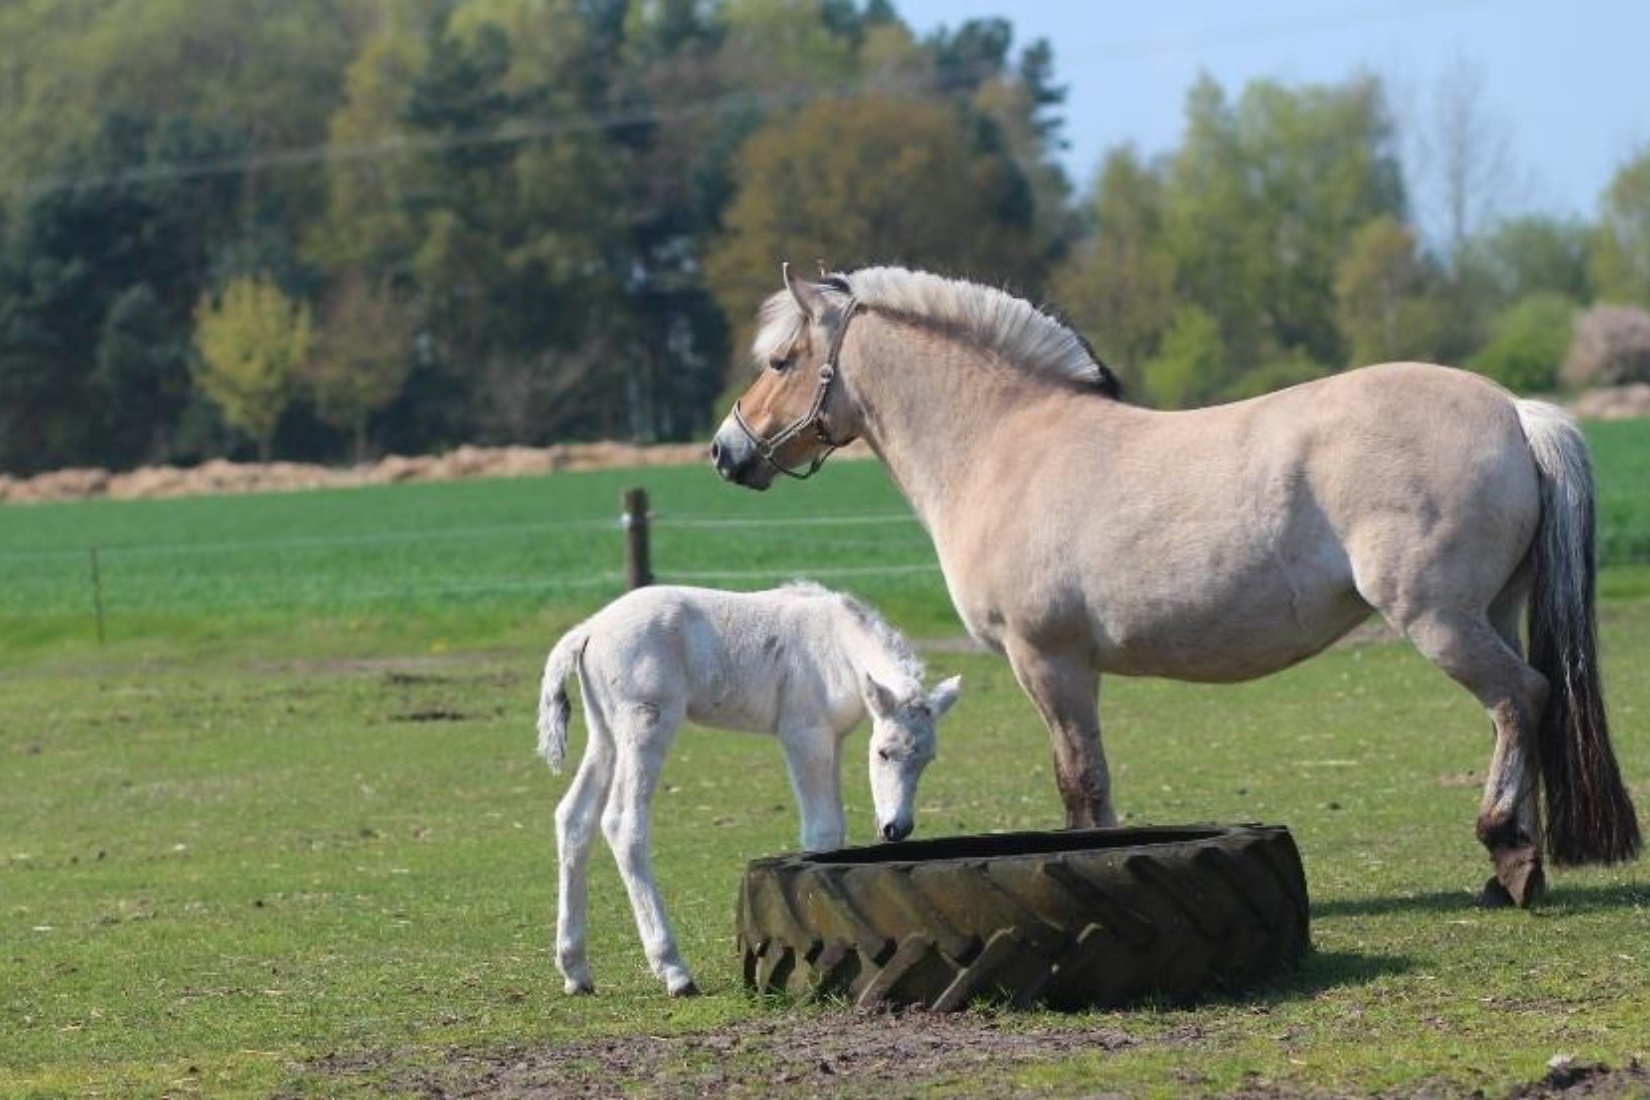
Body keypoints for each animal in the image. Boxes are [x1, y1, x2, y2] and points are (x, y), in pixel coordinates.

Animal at [534, 580, 963, 1002]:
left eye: (928, 759)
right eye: (883, 752)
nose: (896, 828)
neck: (835, 644)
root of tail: (588, 630)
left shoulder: (832, 740)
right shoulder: (804, 735)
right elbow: (822, 829)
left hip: (605, 733)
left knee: (574, 818)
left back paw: (575, 971)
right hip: (646, 724)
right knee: (623, 821)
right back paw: (675, 972)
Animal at [706, 262, 1636, 910]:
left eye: (783, 359)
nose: (726, 449)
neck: (1005, 444)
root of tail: (1516, 411)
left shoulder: (1050, 663)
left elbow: (1081, 783)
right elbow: (1085, 780)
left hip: (1440, 621)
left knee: (1520, 698)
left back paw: (1507, 857)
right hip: (1493, 612)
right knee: (1523, 709)